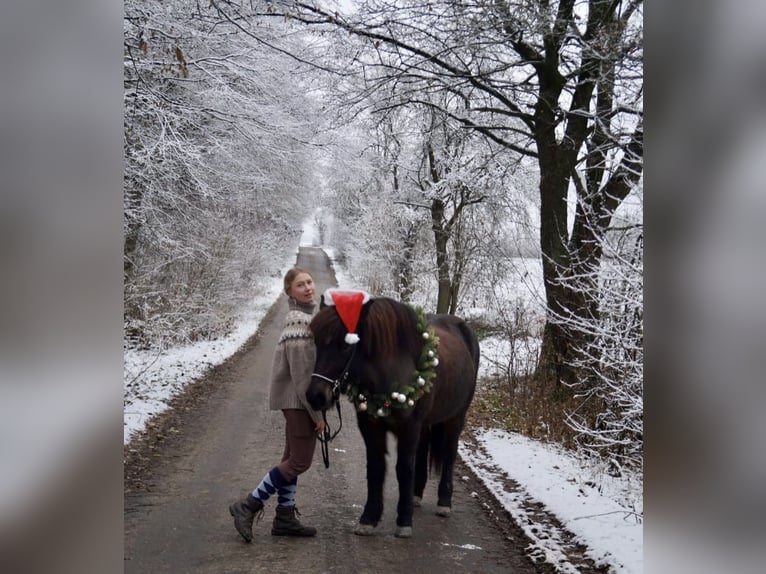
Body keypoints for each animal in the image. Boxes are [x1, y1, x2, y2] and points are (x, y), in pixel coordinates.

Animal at [308, 296, 480, 540]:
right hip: (426, 424)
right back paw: (416, 495)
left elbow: (403, 469)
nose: (315, 396)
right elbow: (376, 468)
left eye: (345, 345)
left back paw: (444, 502)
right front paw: (369, 519)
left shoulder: (409, 427)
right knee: (423, 450)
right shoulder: (370, 426)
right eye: (316, 342)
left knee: (449, 453)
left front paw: (404, 521)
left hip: (455, 418)